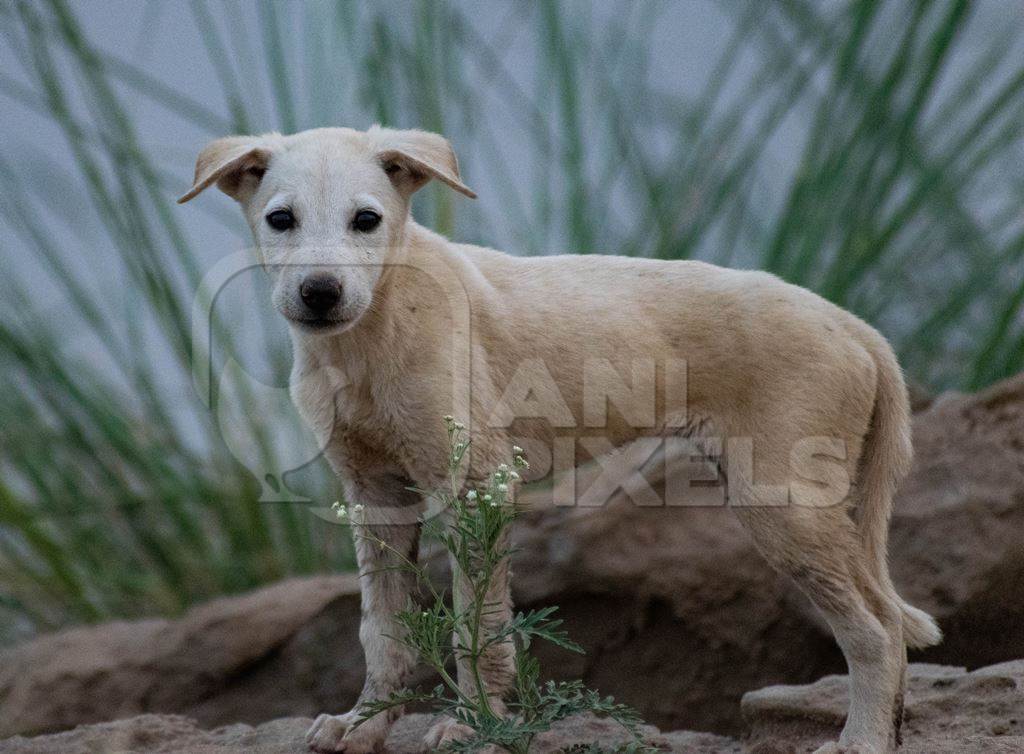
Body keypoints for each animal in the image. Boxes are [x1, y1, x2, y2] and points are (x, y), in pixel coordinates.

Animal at [180, 126, 937, 749]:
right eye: (280, 220)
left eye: (366, 220)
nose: (320, 292)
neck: (376, 332)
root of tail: (855, 327)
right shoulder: (376, 497)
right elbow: (383, 631)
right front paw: (363, 726)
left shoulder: (479, 486)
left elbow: (479, 628)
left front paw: (476, 725)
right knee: (889, 622)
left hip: (781, 502)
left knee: (875, 634)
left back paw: (862, 741)